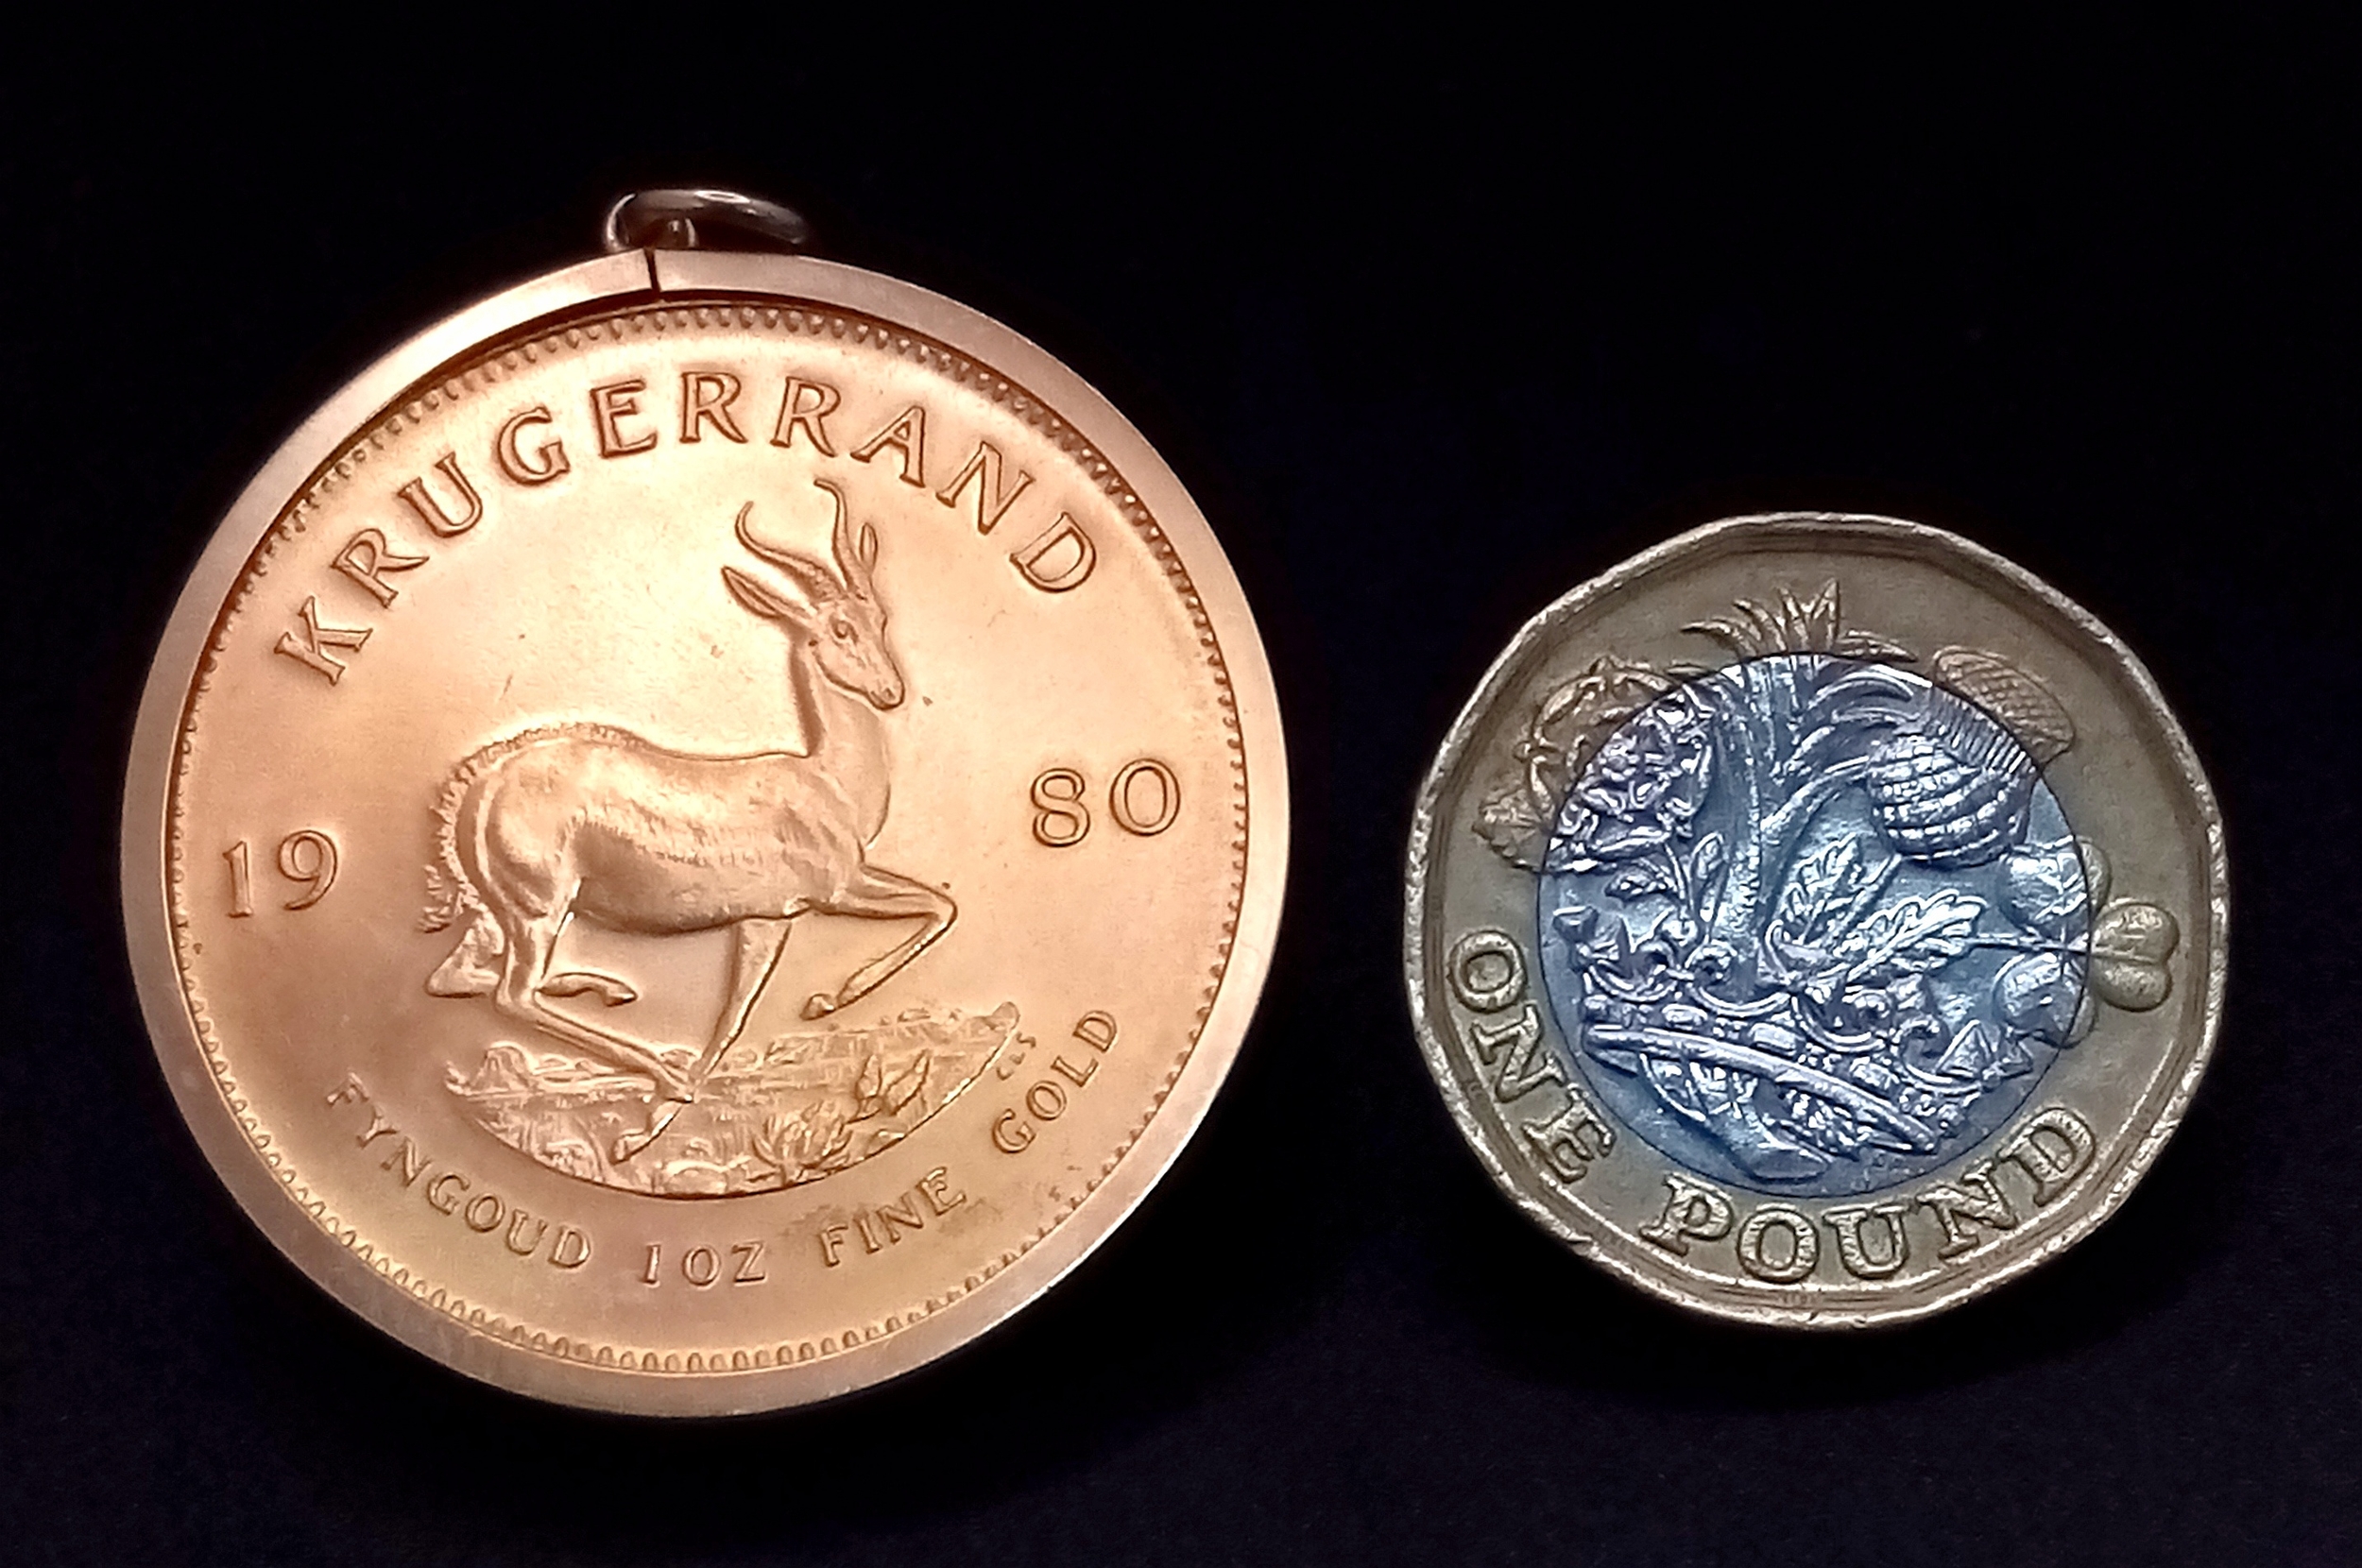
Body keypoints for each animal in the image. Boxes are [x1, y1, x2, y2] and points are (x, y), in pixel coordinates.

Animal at [418, 479, 957, 1160]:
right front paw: (829, 999)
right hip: (540, 908)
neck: (829, 783)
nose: (892, 692)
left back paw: (613, 994)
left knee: (457, 978)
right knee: (511, 996)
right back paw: (655, 1060)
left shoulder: (765, 922)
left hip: (507, 916)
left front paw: (648, 1127)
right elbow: (941, 907)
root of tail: (479, 788)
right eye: (838, 628)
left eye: (879, 620)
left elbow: (731, 1020)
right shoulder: (837, 892)